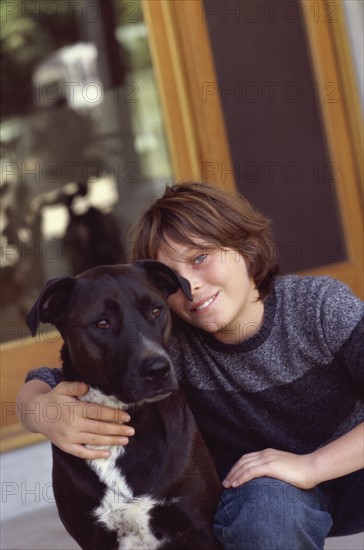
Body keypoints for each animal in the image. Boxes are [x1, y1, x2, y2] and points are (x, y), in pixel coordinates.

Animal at [26, 264, 222, 550]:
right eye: (102, 323)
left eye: (156, 311)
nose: (158, 369)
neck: (131, 419)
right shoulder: (93, 538)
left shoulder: (199, 527)